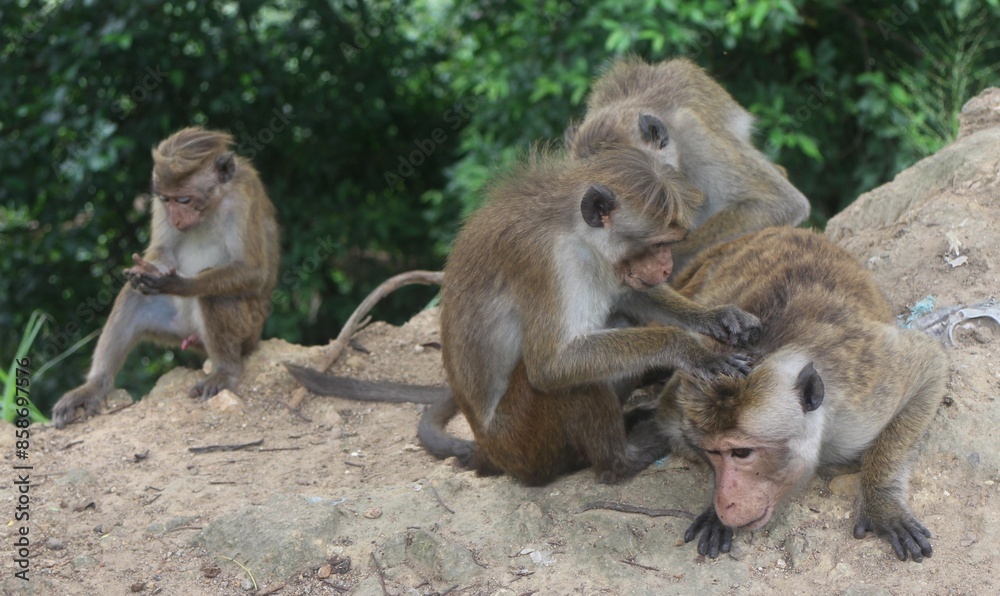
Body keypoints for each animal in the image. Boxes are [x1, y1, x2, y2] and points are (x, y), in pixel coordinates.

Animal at [52, 127, 281, 429]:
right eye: (166, 199)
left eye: (184, 199)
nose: (175, 218)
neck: (214, 202)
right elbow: (160, 252)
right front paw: (146, 271)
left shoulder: (243, 196)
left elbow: (252, 269)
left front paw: (178, 284)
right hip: (175, 329)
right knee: (133, 295)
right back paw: (94, 386)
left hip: (249, 329)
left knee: (215, 296)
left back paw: (225, 370)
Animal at [287, 145, 762, 485]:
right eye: (658, 244)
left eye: (670, 244)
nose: (665, 268)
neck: (576, 232)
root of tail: (488, 446)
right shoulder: (549, 263)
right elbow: (552, 366)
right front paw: (690, 350)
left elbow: (632, 297)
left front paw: (716, 317)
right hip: (523, 442)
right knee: (568, 380)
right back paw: (620, 460)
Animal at [653, 227, 946, 562]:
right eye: (714, 452)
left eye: (741, 452)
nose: (726, 503)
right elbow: (666, 418)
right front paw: (715, 513)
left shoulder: (867, 391)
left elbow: (929, 365)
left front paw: (882, 503)